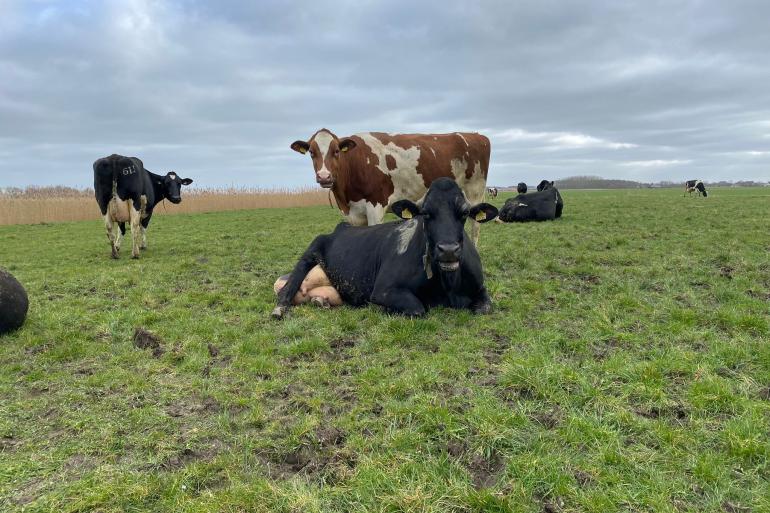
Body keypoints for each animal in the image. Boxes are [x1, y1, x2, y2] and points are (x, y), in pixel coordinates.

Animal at [270, 178, 498, 318]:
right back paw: (279, 308)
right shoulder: (383, 289)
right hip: (312, 248)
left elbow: (485, 308)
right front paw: (385, 310)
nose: (448, 249)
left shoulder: (480, 288)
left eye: (464, 213)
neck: (447, 287)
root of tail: (342, 227)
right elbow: (417, 308)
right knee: (290, 284)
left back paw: (320, 301)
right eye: (425, 213)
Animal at [292, 129, 488, 243]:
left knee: (476, 226)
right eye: (311, 152)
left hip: (475, 192)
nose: (324, 176)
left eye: (336, 151)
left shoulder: (375, 207)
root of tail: (475, 134)